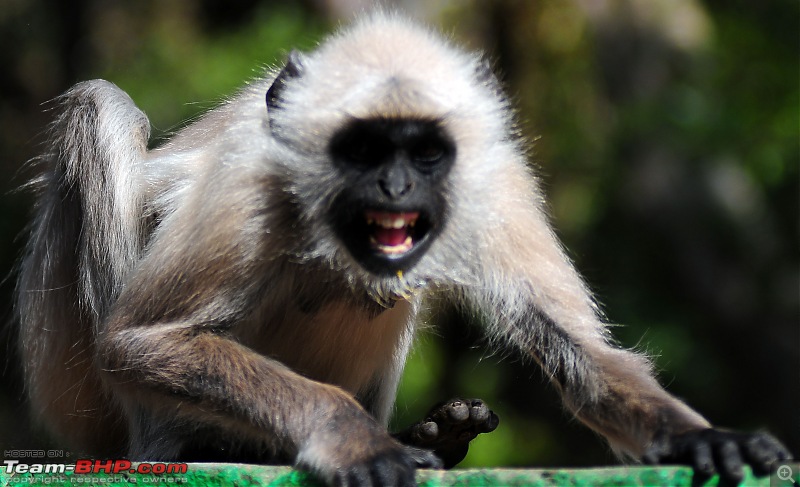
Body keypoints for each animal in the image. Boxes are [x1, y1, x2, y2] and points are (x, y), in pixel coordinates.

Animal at [15, 13, 792, 487]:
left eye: (423, 152)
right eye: (363, 149)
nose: (394, 186)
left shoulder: (493, 180)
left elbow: (585, 360)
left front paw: (701, 437)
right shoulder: (254, 180)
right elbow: (139, 341)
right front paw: (355, 437)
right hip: (74, 388)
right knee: (100, 106)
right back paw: (181, 447)